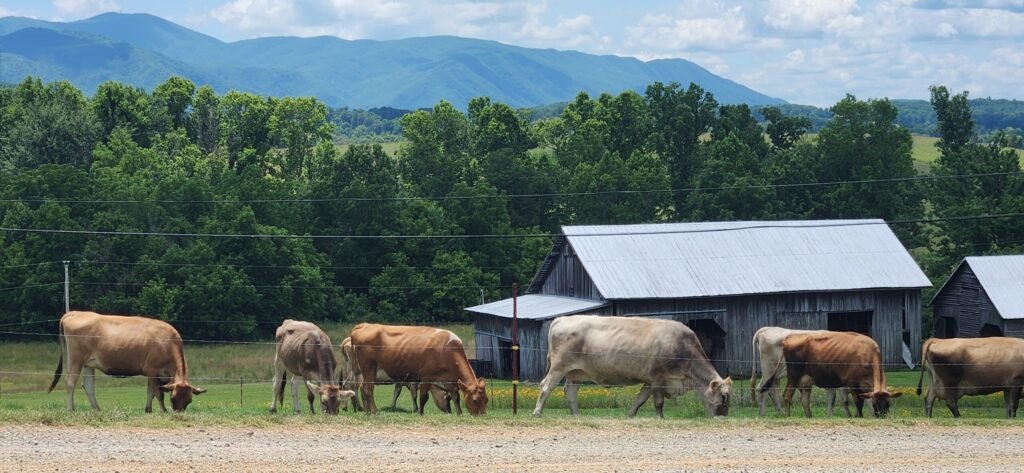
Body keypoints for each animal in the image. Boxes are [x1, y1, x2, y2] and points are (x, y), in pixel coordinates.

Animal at [47, 311, 206, 412]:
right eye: (173, 399)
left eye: (189, 400)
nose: (179, 415)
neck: (168, 343)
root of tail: (74, 312)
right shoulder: (152, 371)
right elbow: (158, 394)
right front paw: (163, 411)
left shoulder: (154, 374)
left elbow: (150, 392)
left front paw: (148, 410)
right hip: (76, 359)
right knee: (70, 382)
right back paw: (70, 409)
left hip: (88, 364)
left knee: (88, 386)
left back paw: (97, 409)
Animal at [349, 323, 487, 416]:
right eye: (475, 400)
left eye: (486, 400)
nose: (481, 416)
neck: (447, 348)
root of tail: (364, 325)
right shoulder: (426, 377)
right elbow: (423, 397)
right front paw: (419, 413)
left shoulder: (450, 380)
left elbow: (456, 397)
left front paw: (459, 414)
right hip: (369, 368)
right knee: (368, 389)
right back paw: (374, 411)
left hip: (364, 372)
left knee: (362, 388)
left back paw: (366, 412)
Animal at [532, 315, 732, 418]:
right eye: (723, 397)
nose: (723, 417)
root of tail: (561, 319)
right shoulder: (658, 378)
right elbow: (658, 402)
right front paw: (660, 418)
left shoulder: (649, 381)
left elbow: (640, 399)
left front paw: (630, 414)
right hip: (559, 367)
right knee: (546, 386)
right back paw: (537, 412)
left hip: (575, 372)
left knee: (570, 391)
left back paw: (576, 415)